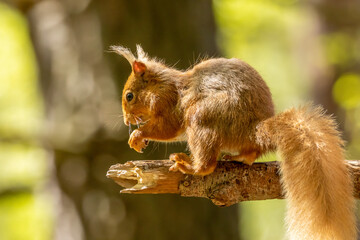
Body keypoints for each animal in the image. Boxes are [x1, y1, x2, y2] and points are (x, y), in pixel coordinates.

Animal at [111, 45, 356, 240]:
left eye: (129, 96)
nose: (126, 121)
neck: (164, 85)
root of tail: (253, 131)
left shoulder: (169, 104)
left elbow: (168, 128)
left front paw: (138, 135)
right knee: (251, 154)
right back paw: (239, 157)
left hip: (201, 118)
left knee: (208, 164)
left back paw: (190, 165)